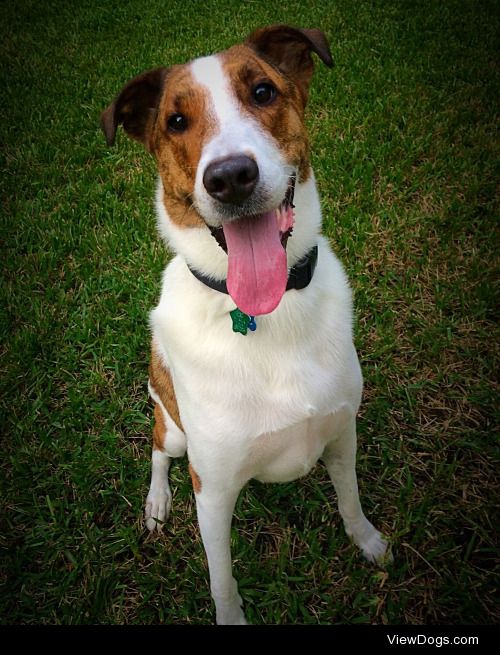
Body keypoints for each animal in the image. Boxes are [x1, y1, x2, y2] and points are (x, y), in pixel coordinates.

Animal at [100, 24, 390, 624]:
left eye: (262, 92)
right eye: (176, 121)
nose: (230, 177)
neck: (269, 314)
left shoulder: (342, 433)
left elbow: (350, 500)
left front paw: (369, 542)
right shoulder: (211, 492)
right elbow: (222, 579)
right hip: (175, 429)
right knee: (157, 449)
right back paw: (156, 504)